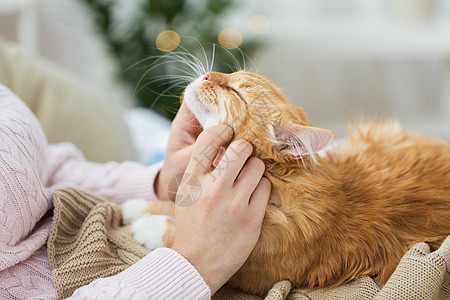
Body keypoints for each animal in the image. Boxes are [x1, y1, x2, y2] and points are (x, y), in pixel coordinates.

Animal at [120, 70, 450, 296]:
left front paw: (149, 226)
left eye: (236, 92)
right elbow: (172, 204)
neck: (279, 184)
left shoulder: (251, 271)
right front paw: (136, 206)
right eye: (230, 74)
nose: (208, 73)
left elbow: (178, 234)